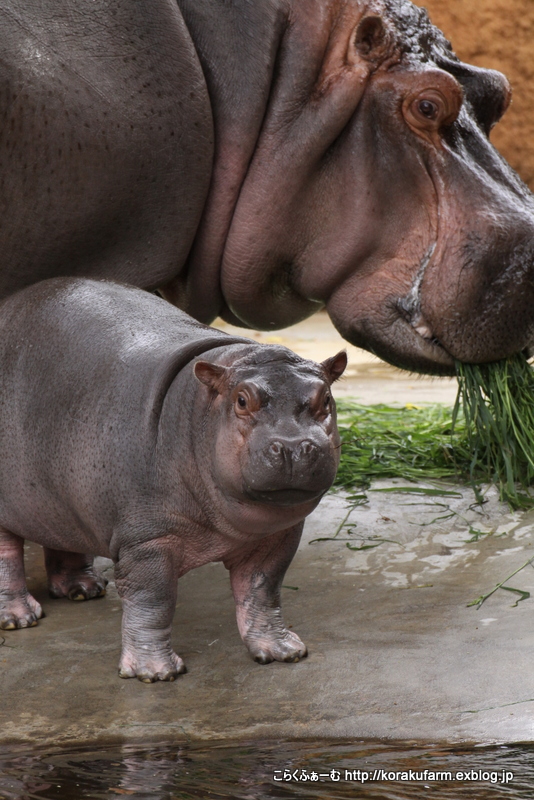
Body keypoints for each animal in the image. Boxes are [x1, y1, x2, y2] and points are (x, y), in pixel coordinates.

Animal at [0, 276, 348, 680]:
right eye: (242, 400)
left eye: (326, 398)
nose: (293, 446)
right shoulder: (147, 541)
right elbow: (154, 603)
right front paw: (155, 673)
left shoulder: (278, 535)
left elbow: (262, 591)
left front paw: (283, 652)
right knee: (6, 554)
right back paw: (17, 619)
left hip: (59, 496)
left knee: (62, 534)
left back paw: (83, 589)